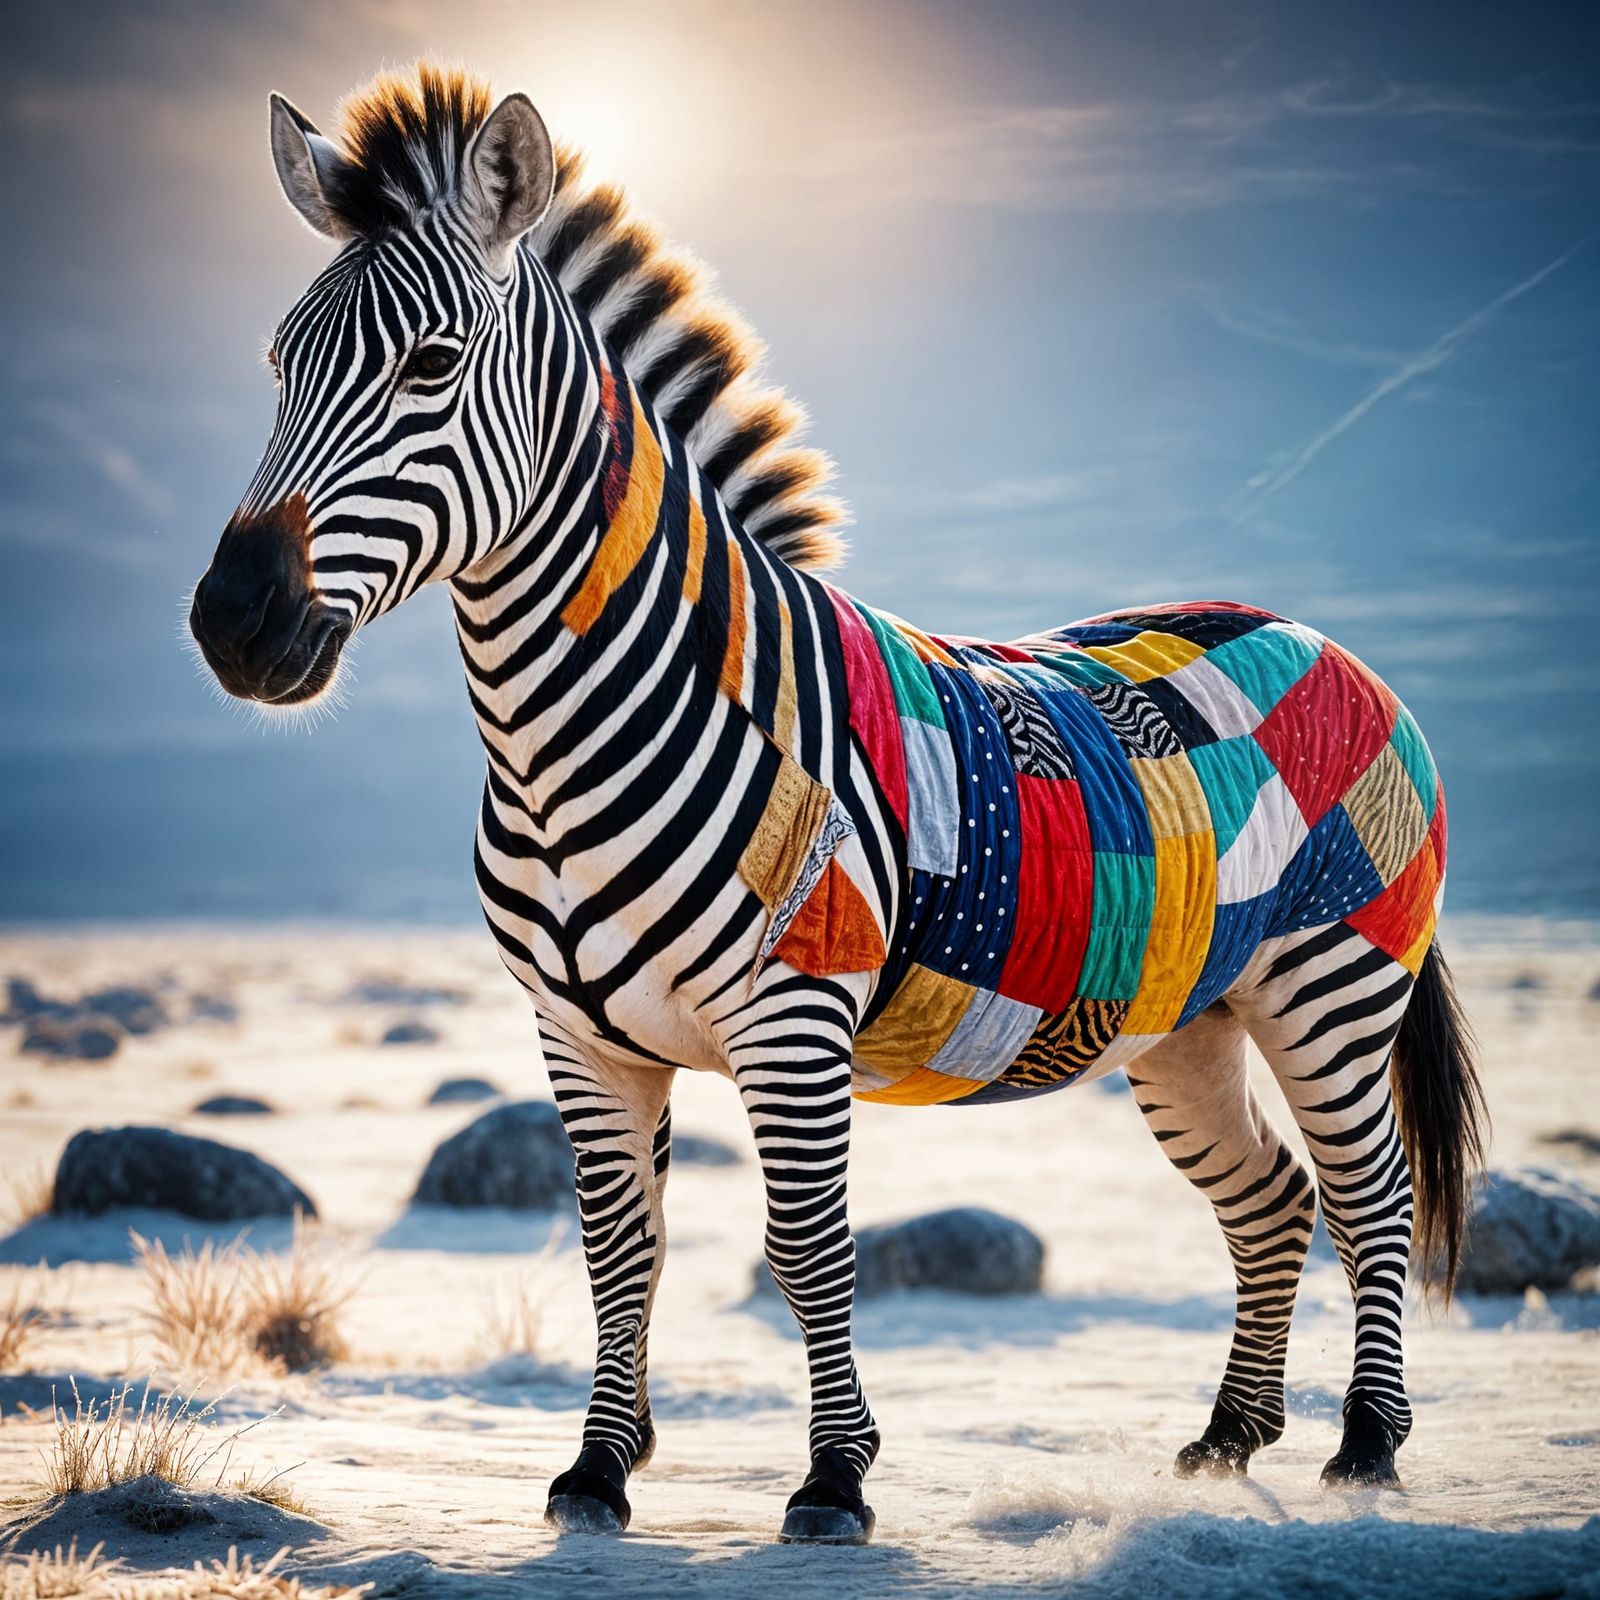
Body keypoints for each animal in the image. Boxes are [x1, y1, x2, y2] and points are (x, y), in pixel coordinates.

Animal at [188, 63, 1487, 1546]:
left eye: (432, 365)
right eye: (278, 363)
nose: (233, 622)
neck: (571, 738)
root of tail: (1316, 635)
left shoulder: (794, 1015)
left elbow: (806, 1245)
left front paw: (833, 1480)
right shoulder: (579, 1038)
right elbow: (618, 1246)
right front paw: (597, 1470)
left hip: (1333, 981)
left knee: (1370, 1195)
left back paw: (1365, 1449)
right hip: (1186, 1018)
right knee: (1270, 1198)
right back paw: (1225, 1442)